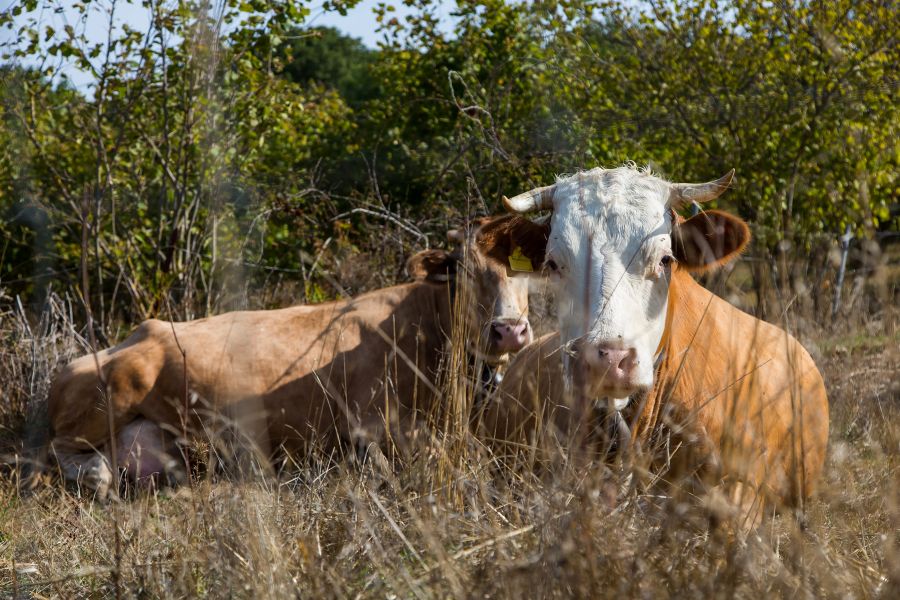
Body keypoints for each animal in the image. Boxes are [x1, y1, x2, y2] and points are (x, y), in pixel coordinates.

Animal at [38, 216, 536, 496]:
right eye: (464, 270)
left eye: (524, 273)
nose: (509, 330)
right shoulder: (376, 420)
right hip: (113, 391)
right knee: (63, 454)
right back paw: (98, 475)